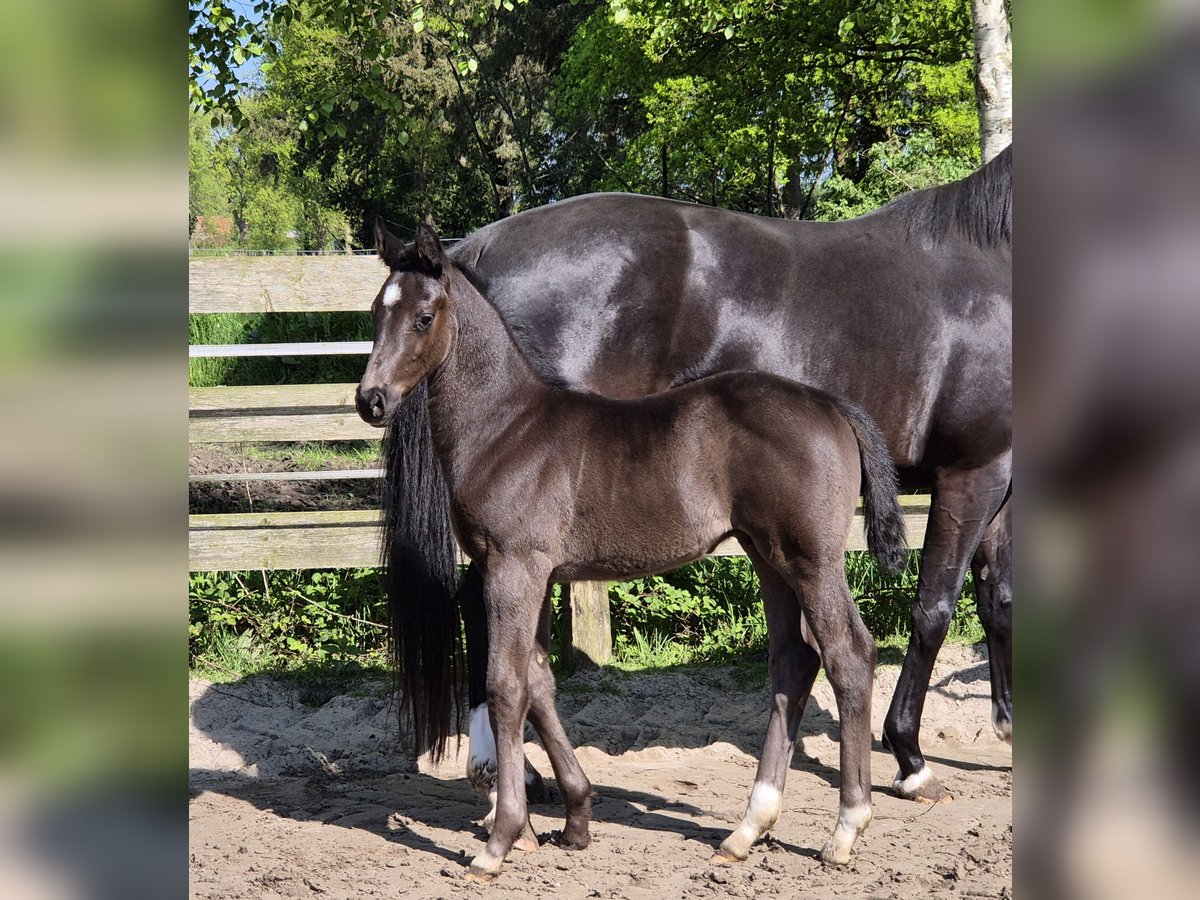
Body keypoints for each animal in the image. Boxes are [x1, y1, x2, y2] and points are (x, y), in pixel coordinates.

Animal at [355, 222, 907, 883]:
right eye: (375, 311)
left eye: (423, 316)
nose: (371, 400)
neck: (506, 428)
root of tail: (831, 405)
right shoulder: (534, 572)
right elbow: (540, 681)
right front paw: (574, 820)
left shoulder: (515, 567)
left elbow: (507, 686)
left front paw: (501, 838)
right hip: (768, 557)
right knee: (793, 662)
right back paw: (746, 830)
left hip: (811, 560)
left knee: (849, 655)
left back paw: (846, 828)